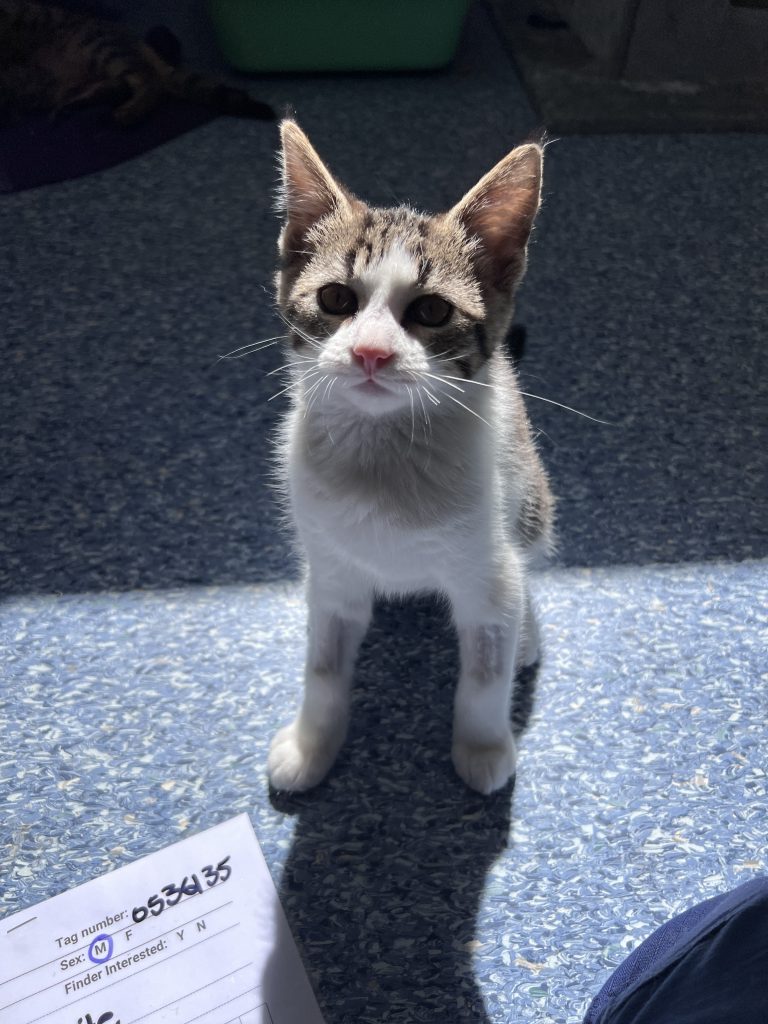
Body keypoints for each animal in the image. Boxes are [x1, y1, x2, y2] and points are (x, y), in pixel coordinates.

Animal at [0, 0, 273, 125]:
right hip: (66, 81)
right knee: (116, 86)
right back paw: (77, 105)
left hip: (96, 46)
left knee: (149, 82)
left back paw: (131, 110)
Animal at [267, 121, 554, 795]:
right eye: (335, 298)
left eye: (431, 310)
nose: (371, 352)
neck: (384, 451)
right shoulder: (331, 572)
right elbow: (323, 668)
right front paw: (312, 745)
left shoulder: (488, 569)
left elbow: (485, 670)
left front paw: (482, 746)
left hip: (530, 496)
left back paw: (527, 636)